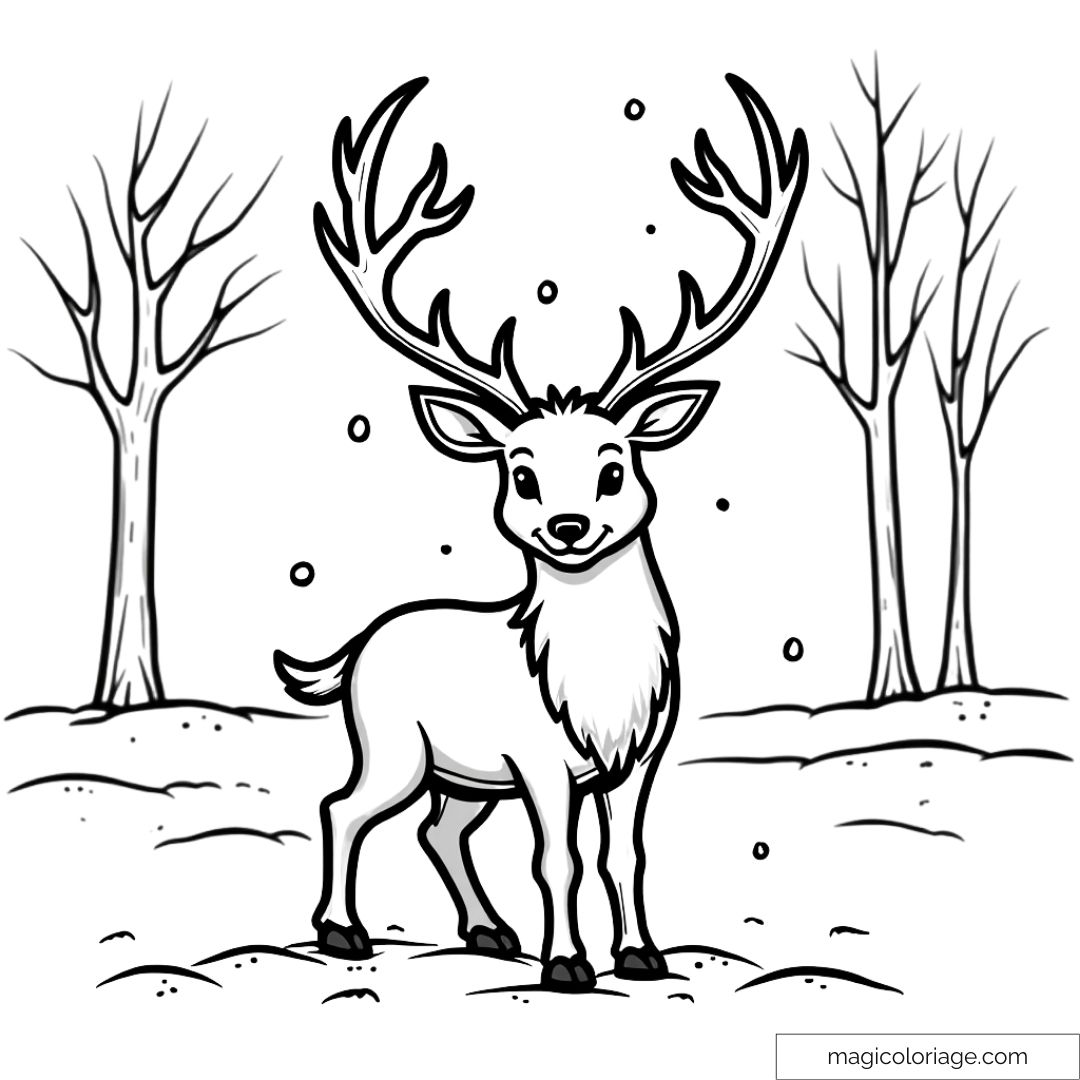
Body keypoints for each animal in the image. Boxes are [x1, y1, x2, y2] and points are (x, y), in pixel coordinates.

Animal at [275, 75, 806, 992]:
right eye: (519, 474)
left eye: (614, 467)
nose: (568, 526)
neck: (594, 690)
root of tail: (354, 649)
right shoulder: (539, 758)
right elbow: (556, 858)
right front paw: (569, 966)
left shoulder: (638, 756)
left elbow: (624, 855)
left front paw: (642, 956)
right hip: (394, 744)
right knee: (344, 806)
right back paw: (345, 933)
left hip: (462, 773)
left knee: (438, 828)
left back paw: (490, 933)